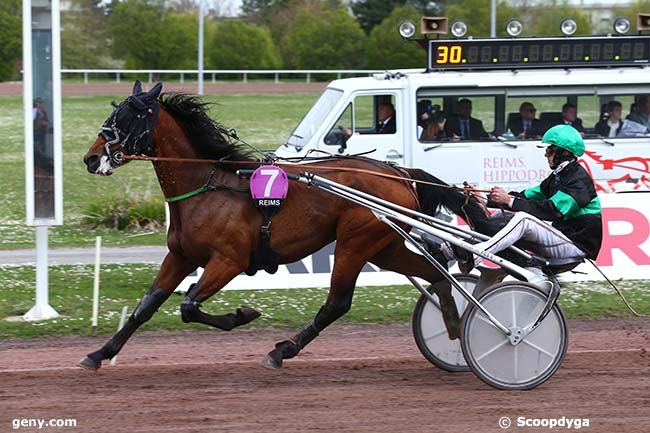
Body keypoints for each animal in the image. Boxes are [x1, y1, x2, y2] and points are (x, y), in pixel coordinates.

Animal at [79, 80, 486, 368]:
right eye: (114, 114)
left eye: (129, 116)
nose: (91, 158)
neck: (207, 187)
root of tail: (399, 173)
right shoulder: (180, 256)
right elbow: (145, 307)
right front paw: (99, 354)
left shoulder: (228, 261)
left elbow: (189, 305)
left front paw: (242, 314)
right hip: (384, 246)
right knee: (435, 273)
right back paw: (454, 326)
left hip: (355, 242)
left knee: (337, 303)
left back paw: (283, 350)